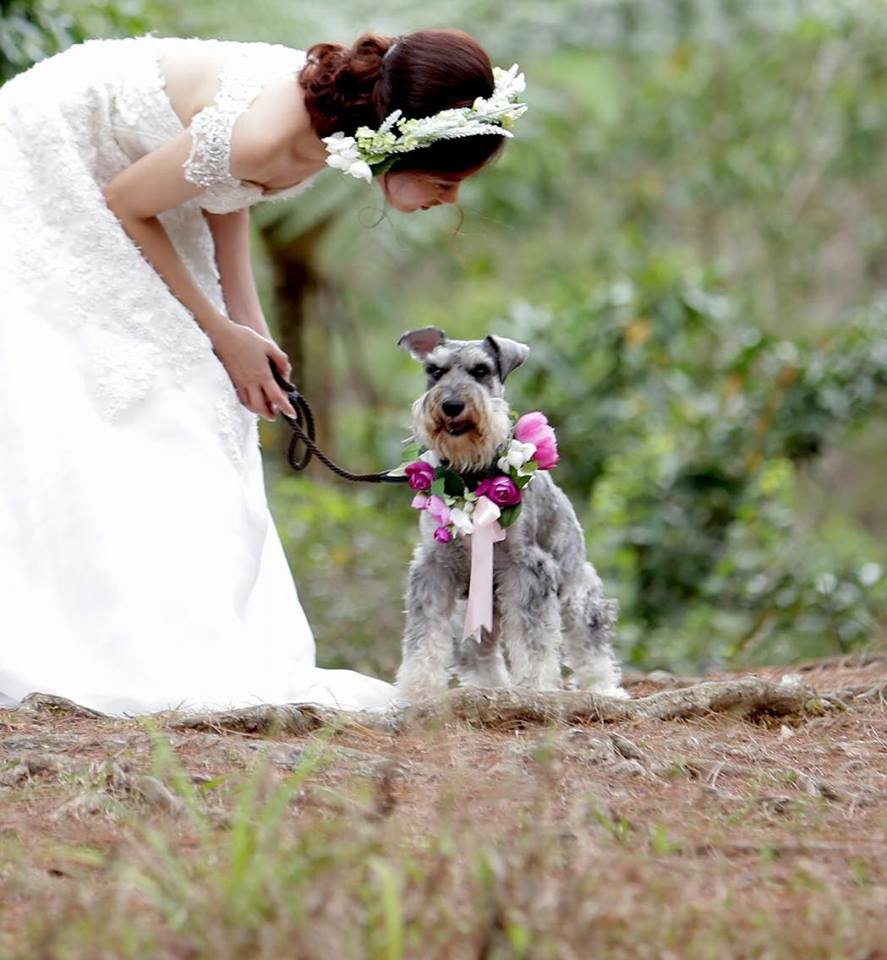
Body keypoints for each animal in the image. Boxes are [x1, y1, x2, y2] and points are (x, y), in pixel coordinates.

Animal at [396, 326, 624, 700]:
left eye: (481, 370)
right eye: (435, 371)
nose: (452, 405)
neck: (470, 477)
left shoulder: (527, 569)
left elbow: (534, 643)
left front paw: (536, 688)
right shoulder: (434, 568)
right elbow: (423, 638)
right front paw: (418, 692)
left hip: (575, 592)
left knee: (590, 642)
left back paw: (604, 690)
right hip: (476, 606)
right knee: (477, 651)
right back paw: (490, 689)